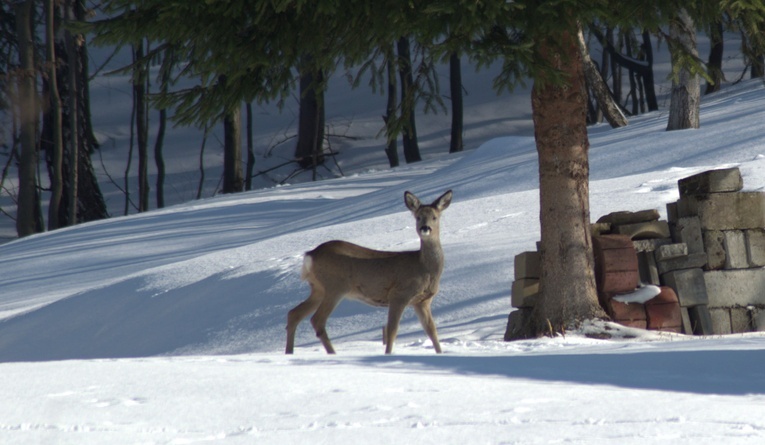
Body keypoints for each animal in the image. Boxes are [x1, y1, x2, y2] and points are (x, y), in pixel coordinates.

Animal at [286, 190, 450, 354]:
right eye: (418, 217)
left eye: (435, 217)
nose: (425, 228)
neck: (424, 268)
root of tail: (310, 255)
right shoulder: (399, 294)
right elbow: (392, 330)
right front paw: (387, 354)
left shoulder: (422, 301)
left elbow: (432, 330)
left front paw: (440, 353)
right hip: (335, 286)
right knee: (317, 319)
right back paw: (332, 353)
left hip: (318, 288)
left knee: (294, 313)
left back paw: (290, 352)